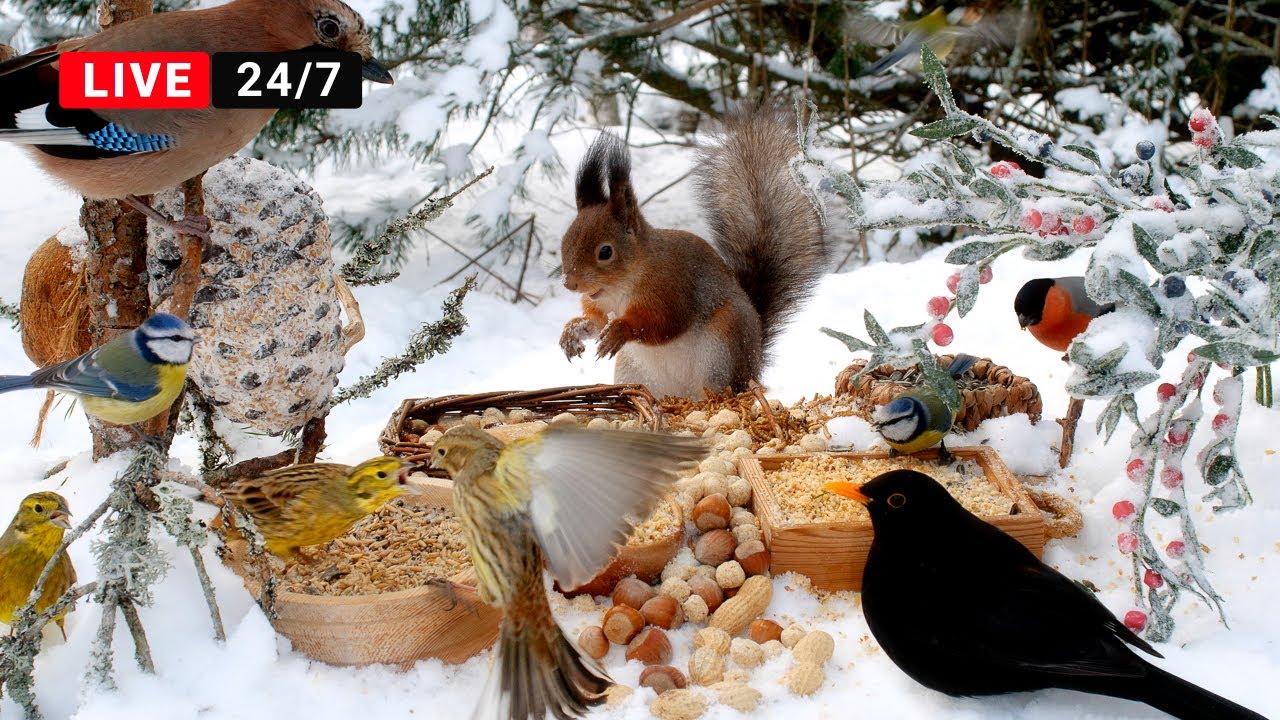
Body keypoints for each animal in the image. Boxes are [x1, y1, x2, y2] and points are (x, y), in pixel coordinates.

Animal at [558, 105, 827, 399]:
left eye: (605, 252)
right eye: (565, 241)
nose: (570, 284)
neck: (622, 286)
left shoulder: (672, 289)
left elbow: (663, 324)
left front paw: (620, 329)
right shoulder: (600, 304)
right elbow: (595, 323)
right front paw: (573, 330)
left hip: (722, 346)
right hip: (633, 369)